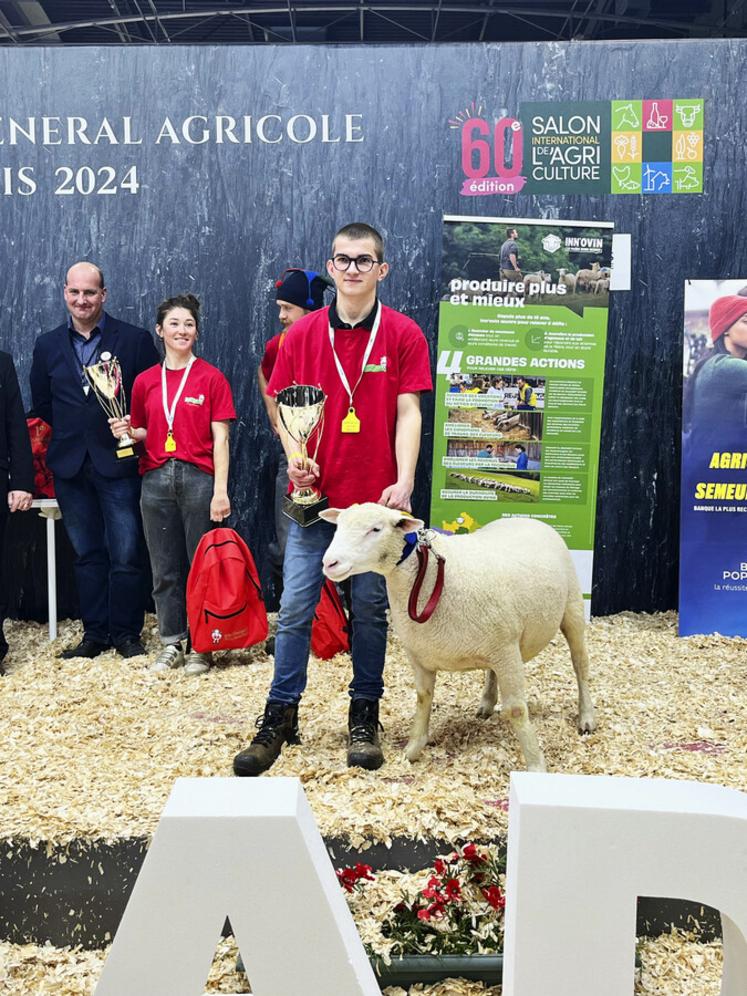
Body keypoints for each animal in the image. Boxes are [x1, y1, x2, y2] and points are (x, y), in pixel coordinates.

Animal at [320, 506, 596, 772]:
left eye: (375, 529)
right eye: (339, 525)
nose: (329, 563)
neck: (427, 575)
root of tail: (526, 518)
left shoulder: (506, 650)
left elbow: (516, 710)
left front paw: (536, 765)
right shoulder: (420, 655)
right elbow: (423, 699)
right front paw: (412, 751)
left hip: (571, 608)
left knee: (580, 664)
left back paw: (586, 717)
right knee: (492, 672)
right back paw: (487, 703)